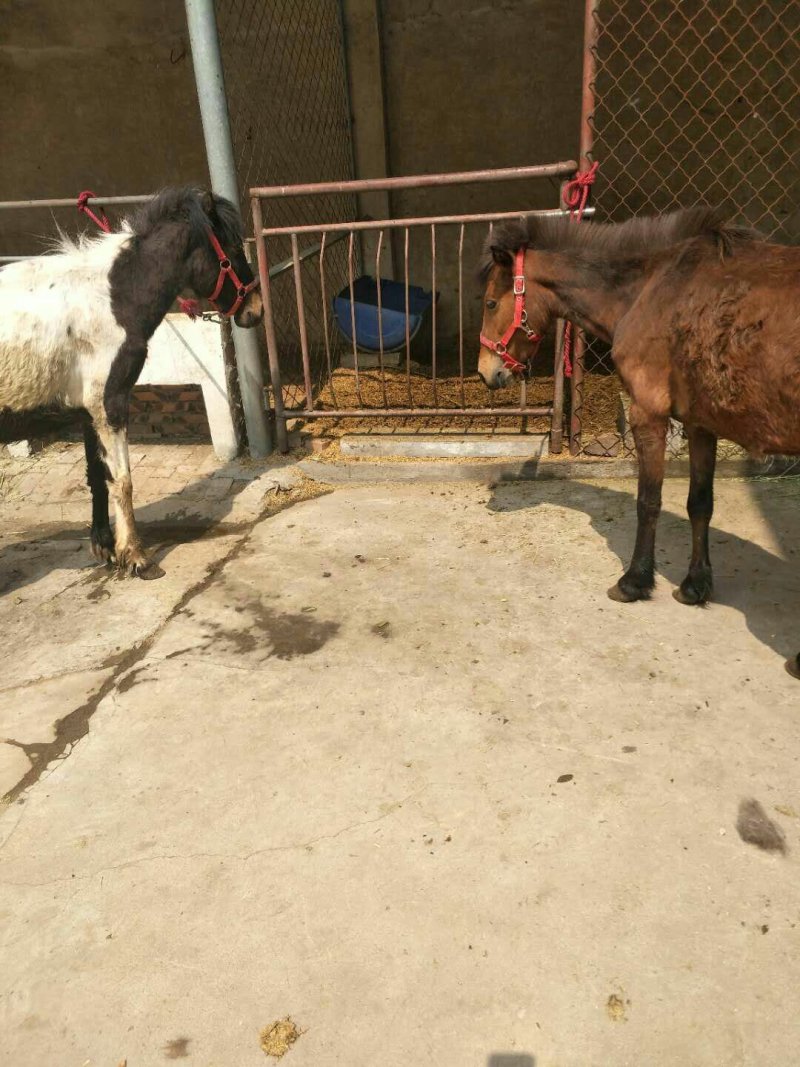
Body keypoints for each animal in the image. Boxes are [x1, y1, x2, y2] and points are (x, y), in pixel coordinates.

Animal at [0, 186, 263, 578]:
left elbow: (98, 476)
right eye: (231, 249)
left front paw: (106, 547)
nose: (255, 310)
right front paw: (135, 555)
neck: (113, 298)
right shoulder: (110, 402)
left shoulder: (88, 410)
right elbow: (122, 480)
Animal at [476, 207, 800, 676]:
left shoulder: (648, 414)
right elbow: (700, 504)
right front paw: (695, 586)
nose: (486, 373)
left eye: (490, 303)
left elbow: (649, 502)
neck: (648, 288)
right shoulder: (700, 423)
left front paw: (634, 582)